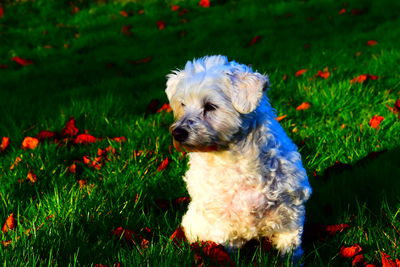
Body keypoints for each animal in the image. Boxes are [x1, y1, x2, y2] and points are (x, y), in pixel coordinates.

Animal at [165, 55, 312, 260]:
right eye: (183, 104)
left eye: (210, 106)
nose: (178, 133)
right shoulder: (220, 222)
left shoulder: (290, 212)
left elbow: (290, 247)